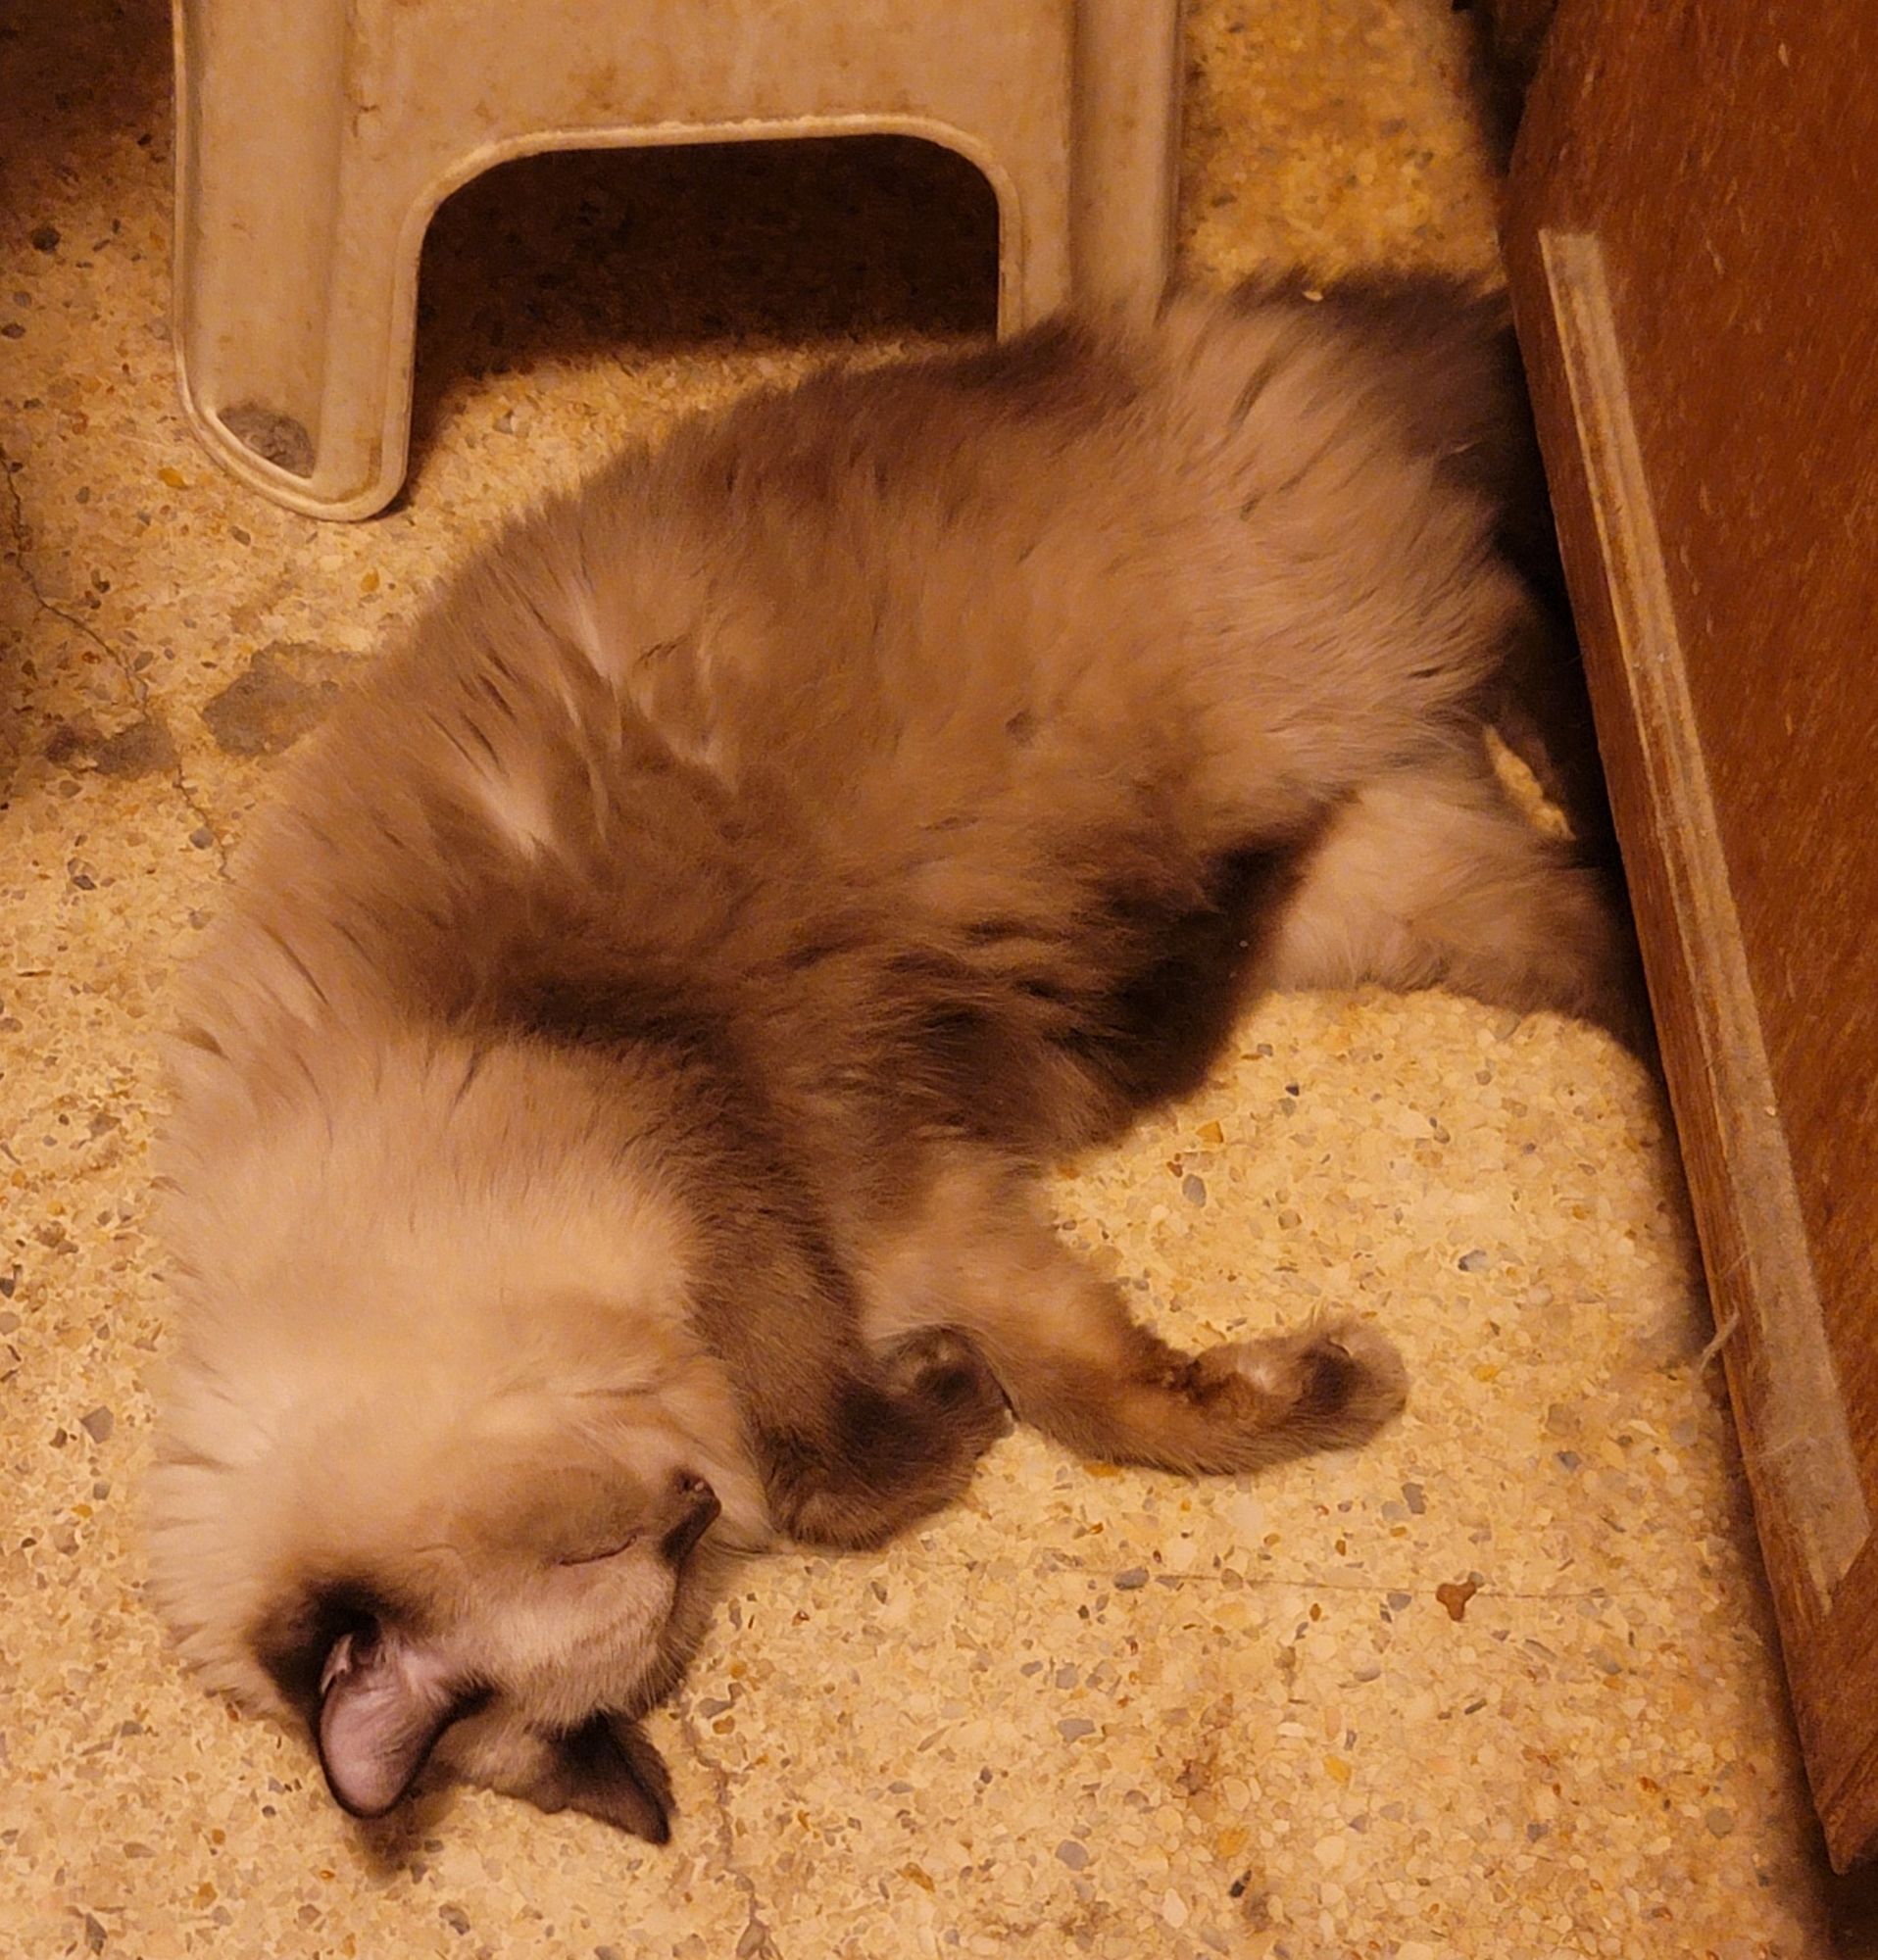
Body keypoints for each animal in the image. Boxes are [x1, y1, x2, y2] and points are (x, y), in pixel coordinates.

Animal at [151, 272, 1647, 1835]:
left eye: (602, 1549)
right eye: (649, 1568)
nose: (694, 1504)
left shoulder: (696, 1144)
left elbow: (831, 1466)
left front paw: (935, 1415)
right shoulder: (911, 1224)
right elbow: (1092, 1393)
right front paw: (1310, 1390)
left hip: (1311, 697)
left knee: (1522, 603)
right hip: (1384, 876)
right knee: (1570, 909)